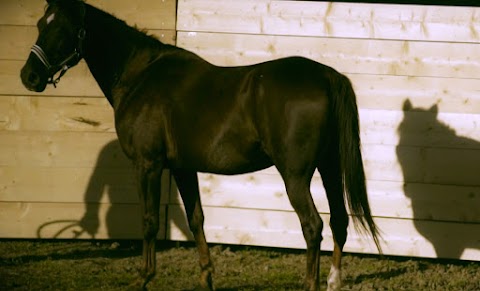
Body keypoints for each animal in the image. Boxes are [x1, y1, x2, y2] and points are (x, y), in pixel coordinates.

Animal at [20, 1, 382, 290]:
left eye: (63, 29)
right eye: (40, 24)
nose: (29, 76)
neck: (141, 76)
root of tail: (327, 76)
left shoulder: (147, 165)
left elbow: (149, 220)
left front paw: (144, 277)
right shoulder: (183, 168)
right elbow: (196, 219)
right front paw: (206, 277)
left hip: (295, 176)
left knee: (313, 226)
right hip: (329, 168)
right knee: (338, 221)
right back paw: (333, 280)